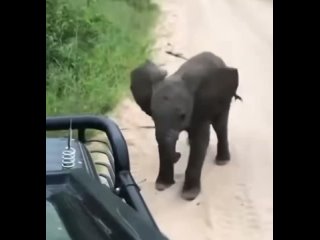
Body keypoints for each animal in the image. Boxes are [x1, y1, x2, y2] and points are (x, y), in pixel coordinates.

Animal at [129, 52, 241, 201]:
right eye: (153, 115)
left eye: (183, 115)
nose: (177, 155)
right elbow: (161, 140)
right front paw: (162, 186)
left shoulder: (200, 108)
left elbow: (199, 142)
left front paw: (189, 195)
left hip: (224, 98)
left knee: (220, 125)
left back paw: (222, 161)